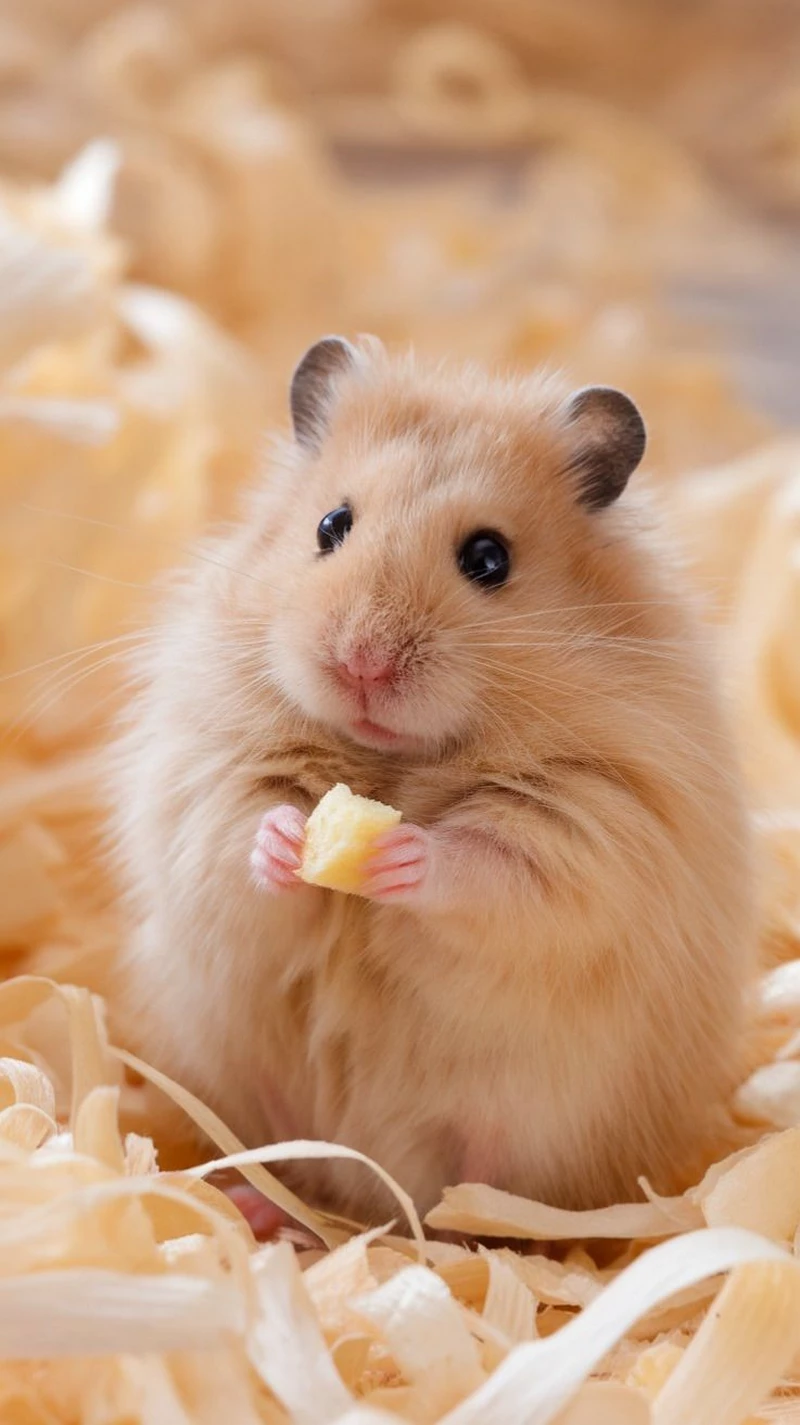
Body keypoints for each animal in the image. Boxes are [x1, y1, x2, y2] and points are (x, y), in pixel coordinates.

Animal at [113, 334, 756, 1224]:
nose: (362, 662)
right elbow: (241, 830)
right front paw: (288, 839)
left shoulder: (589, 824)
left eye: (488, 559)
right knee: (291, 1163)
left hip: (527, 1129)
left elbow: (487, 864)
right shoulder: (206, 770)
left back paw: (473, 1232)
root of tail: (378, 1193)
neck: (393, 758)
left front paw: (404, 854)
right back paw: (258, 1206)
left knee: (480, 1194)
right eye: (331, 524)